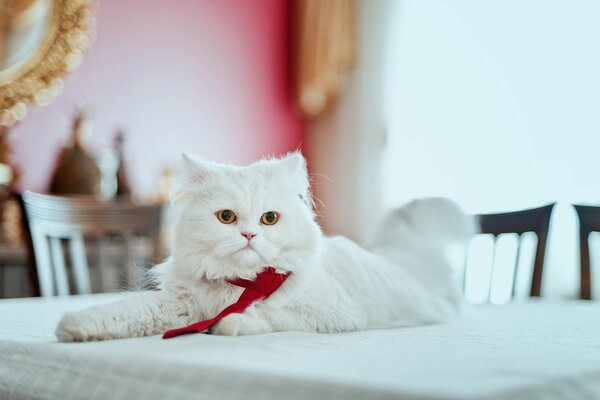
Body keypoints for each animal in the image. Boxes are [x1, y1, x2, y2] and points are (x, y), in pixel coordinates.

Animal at [55, 153, 474, 340]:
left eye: (269, 219)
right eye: (226, 217)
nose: (249, 236)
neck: (240, 283)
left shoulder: (334, 316)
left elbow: (266, 317)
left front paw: (227, 324)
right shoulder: (178, 306)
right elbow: (121, 312)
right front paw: (71, 327)